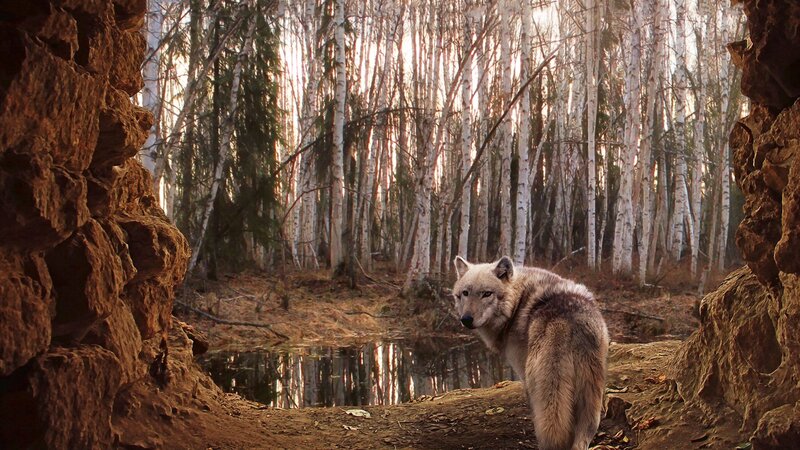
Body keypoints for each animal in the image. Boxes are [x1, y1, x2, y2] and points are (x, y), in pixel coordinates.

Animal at [452, 255, 609, 450]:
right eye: (465, 293)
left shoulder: (523, 373)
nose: (466, 319)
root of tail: (567, 321)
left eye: (487, 294)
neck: (517, 303)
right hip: (591, 399)